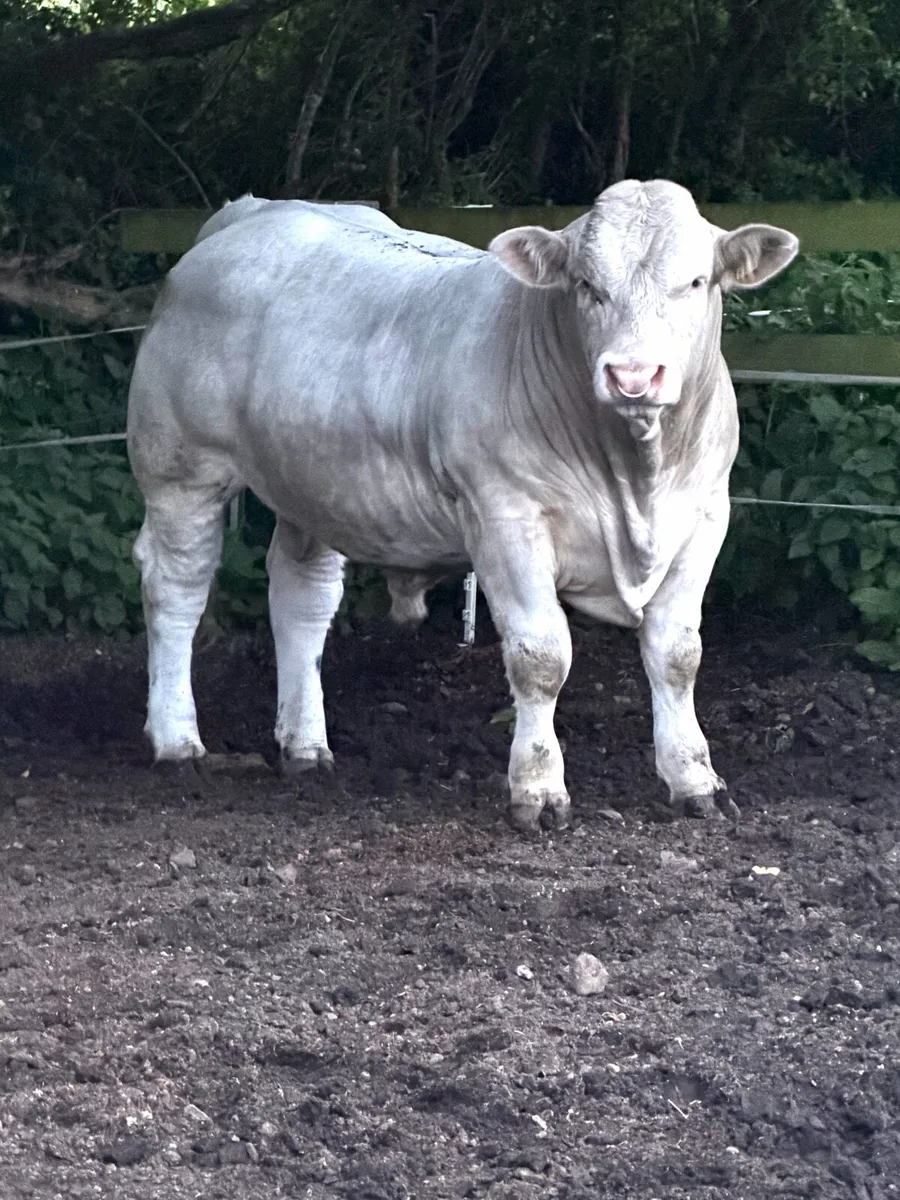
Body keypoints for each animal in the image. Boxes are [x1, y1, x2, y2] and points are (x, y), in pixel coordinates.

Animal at [126, 181, 797, 831]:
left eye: (696, 281)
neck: (634, 479)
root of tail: (251, 212)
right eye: (586, 285)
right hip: (181, 469)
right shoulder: (505, 517)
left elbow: (678, 654)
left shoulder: (706, 516)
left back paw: (306, 745)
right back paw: (177, 739)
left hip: (309, 481)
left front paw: (694, 780)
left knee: (301, 596)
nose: (634, 376)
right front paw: (539, 790)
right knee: (176, 591)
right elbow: (540, 656)